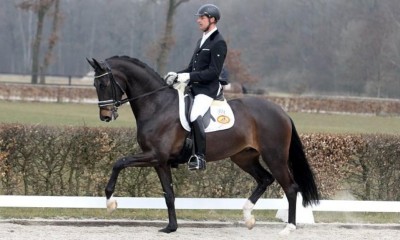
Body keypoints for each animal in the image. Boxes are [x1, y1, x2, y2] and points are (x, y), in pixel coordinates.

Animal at [86, 55, 318, 234]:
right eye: (95, 85)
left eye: (104, 84)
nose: (105, 116)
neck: (157, 105)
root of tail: (281, 111)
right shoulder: (160, 162)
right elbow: (169, 194)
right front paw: (171, 227)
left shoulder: (155, 155)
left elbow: (119, 162)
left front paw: (110, 202)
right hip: (244, 156)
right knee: (265, 179)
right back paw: (248, 217)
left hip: (274, 156)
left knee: (290, 187)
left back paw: (289, 228)